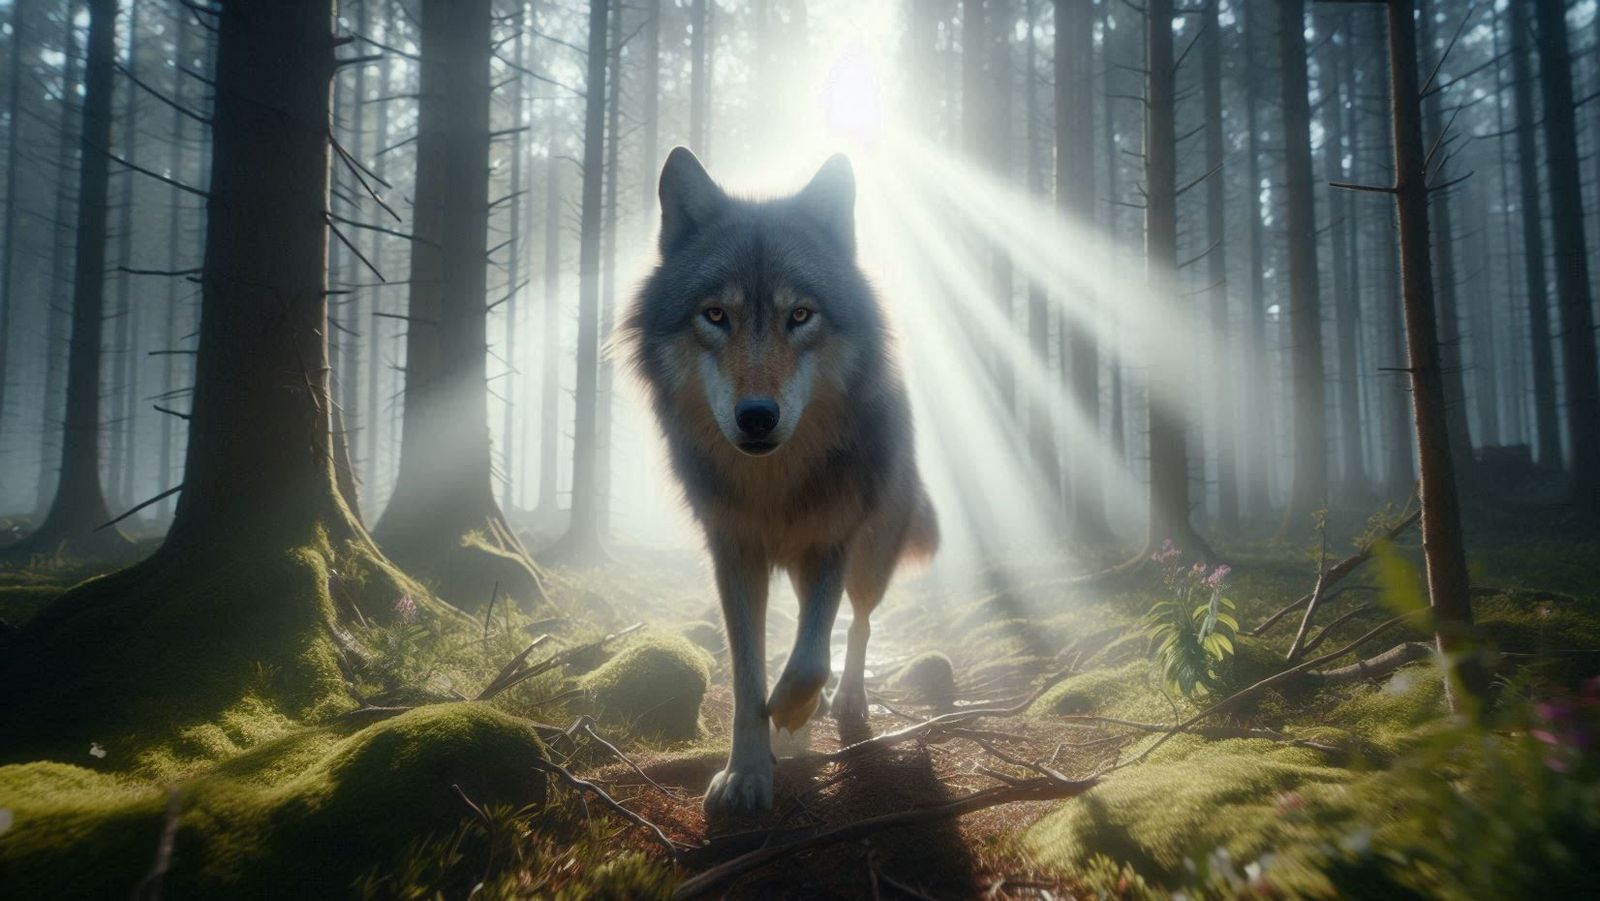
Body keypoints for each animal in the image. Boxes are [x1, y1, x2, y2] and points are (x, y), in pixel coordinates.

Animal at [621, 148, 939, 816]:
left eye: (800, 315)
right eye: (716, 315)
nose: (757, 417)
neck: (773, 482)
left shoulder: (833, 541)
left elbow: (812, 654)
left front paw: (793, 711)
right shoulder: (734, 552)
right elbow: (749, 675)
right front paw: (747, 771)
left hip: (871, 558)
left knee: (858, 621)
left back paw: (845, 702)